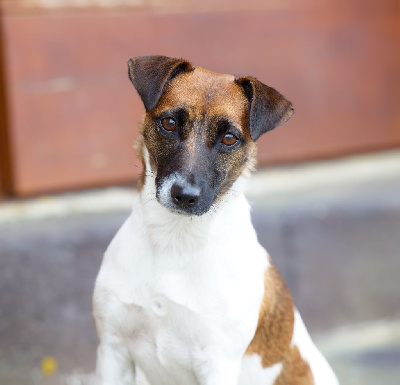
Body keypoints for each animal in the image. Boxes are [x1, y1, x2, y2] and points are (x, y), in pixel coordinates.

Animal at [92, 54, 340, 384]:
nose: (185, 195)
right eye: (169, 123)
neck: (175, 238)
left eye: (229, 138)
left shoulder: (217, 364)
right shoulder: (113, 349)